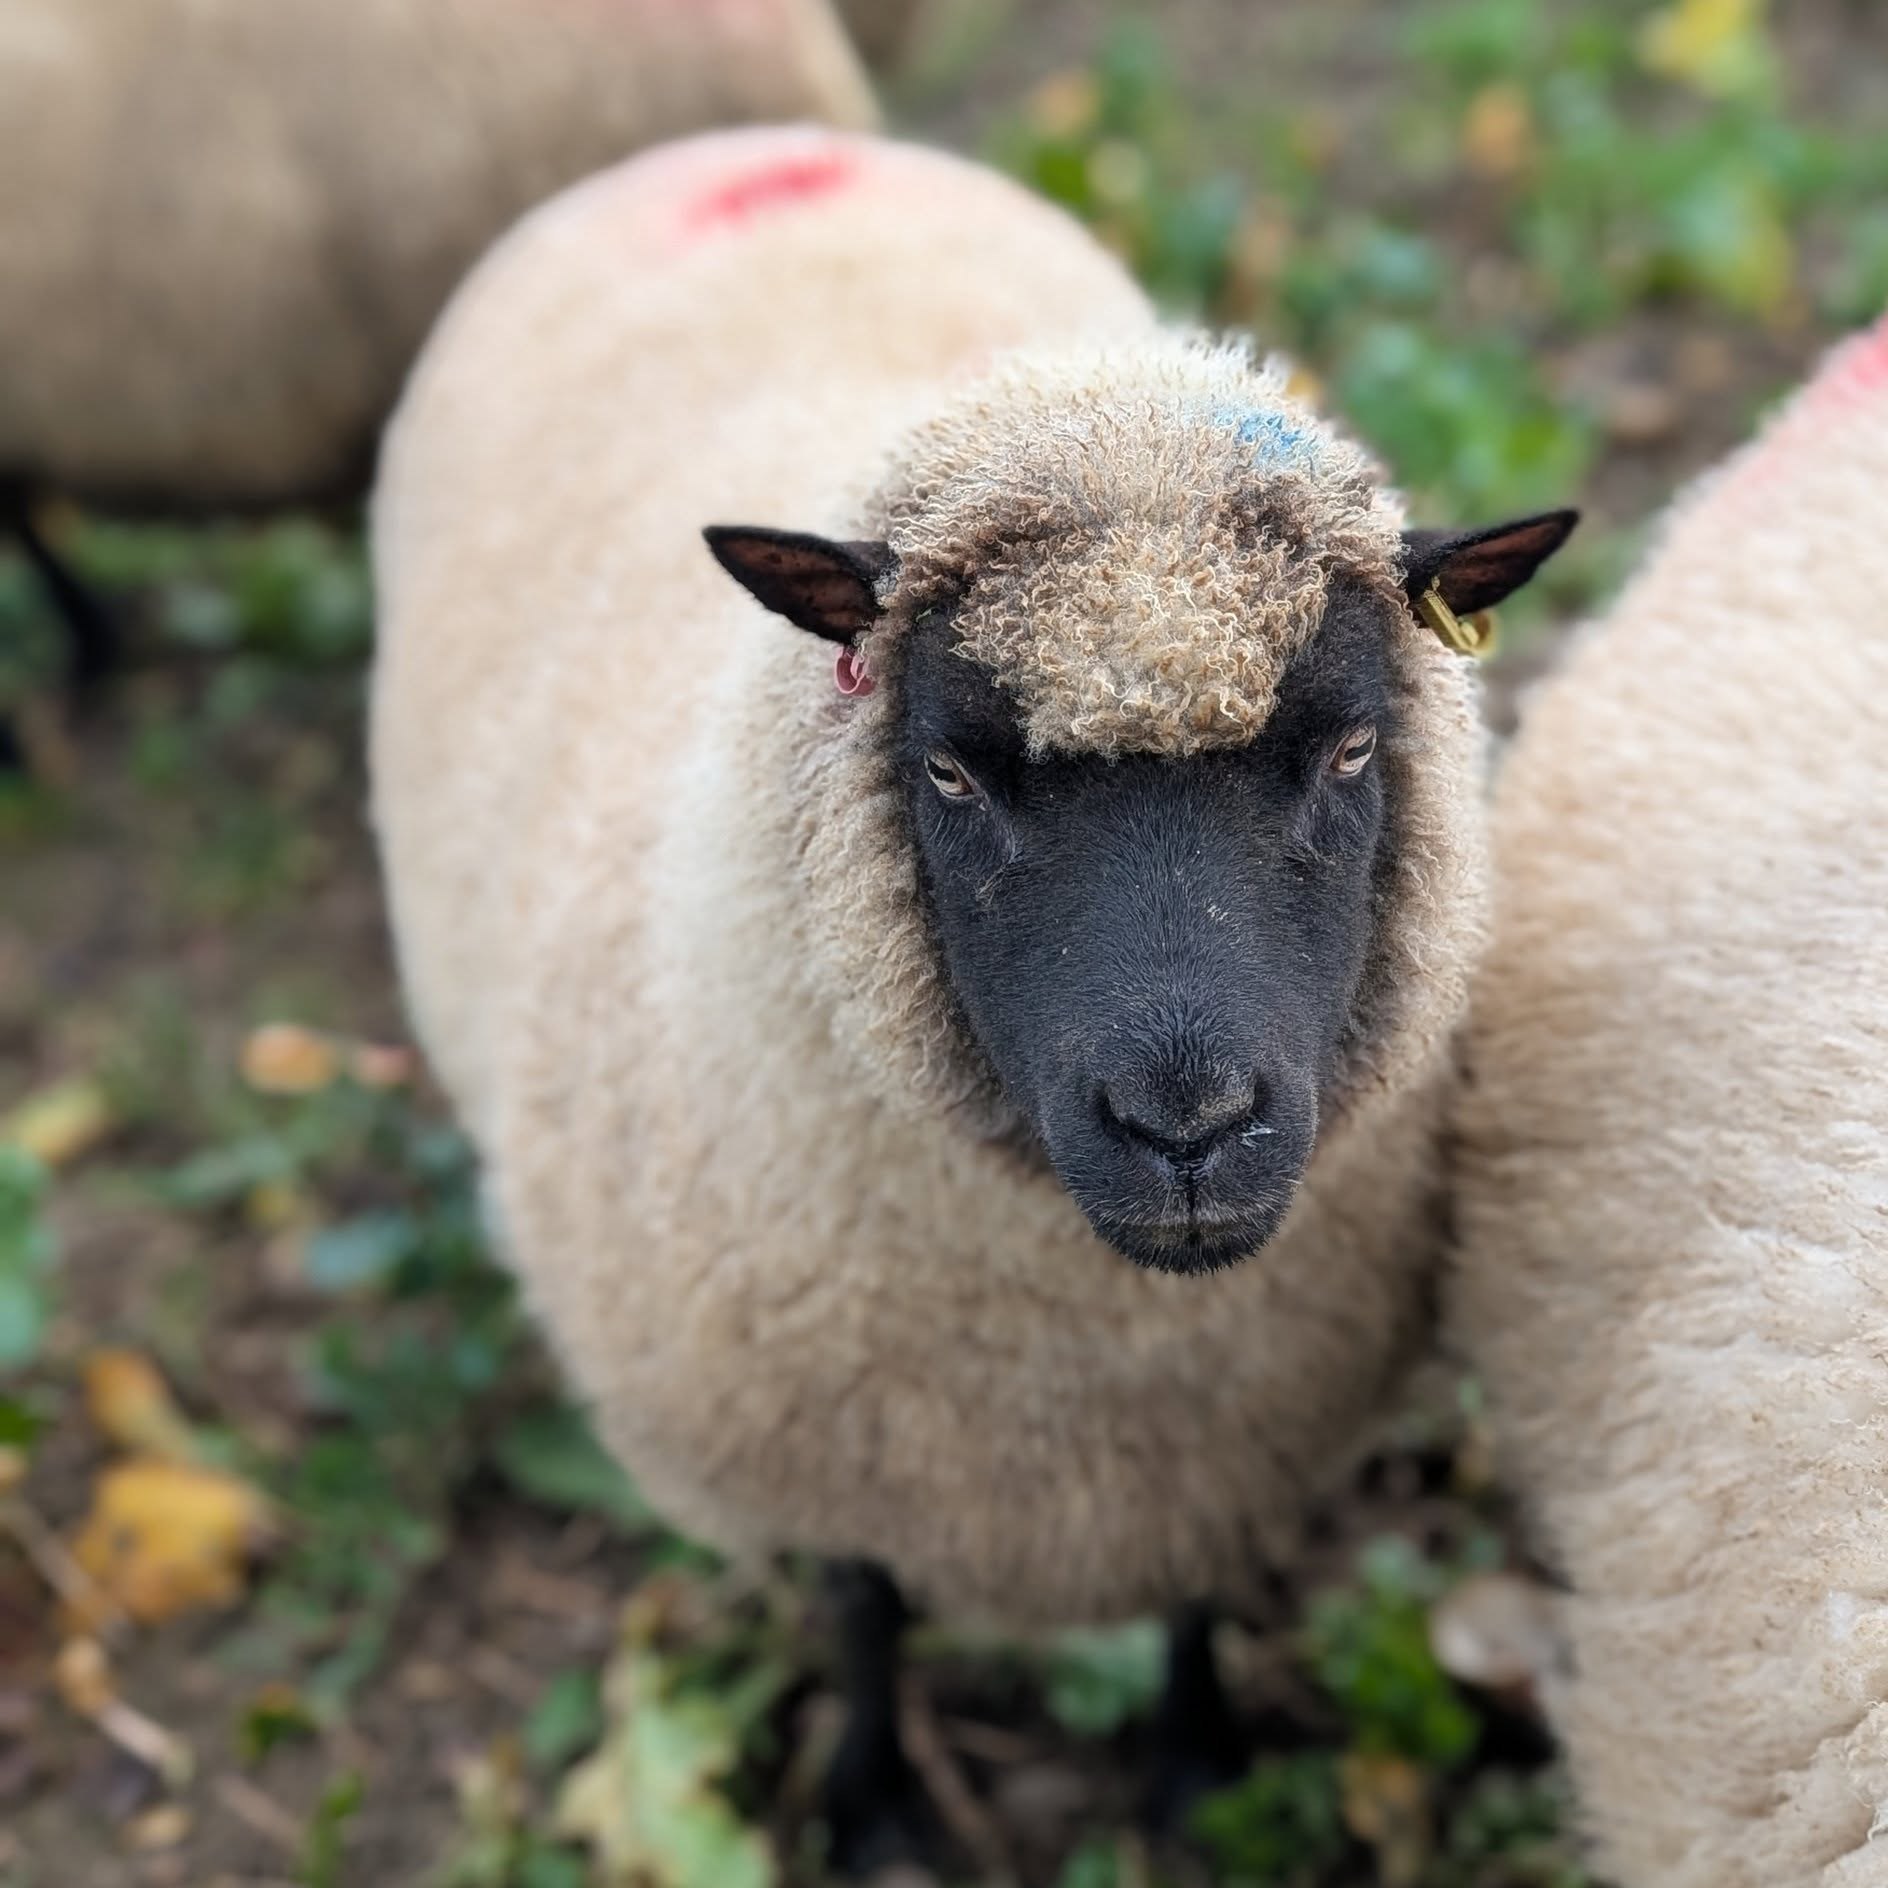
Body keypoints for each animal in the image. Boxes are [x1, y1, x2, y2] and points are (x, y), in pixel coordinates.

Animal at [369, 124, 1575, 1861]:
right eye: (950, 770)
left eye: (1351, 747)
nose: (1186, 1125)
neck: (1072, 1360)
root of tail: (731, 150)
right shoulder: (834, 1453)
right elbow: (866, 1614)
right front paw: (878, 1817)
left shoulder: (1220, 1438)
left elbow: (1193, 1595)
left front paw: (1194, 1775)